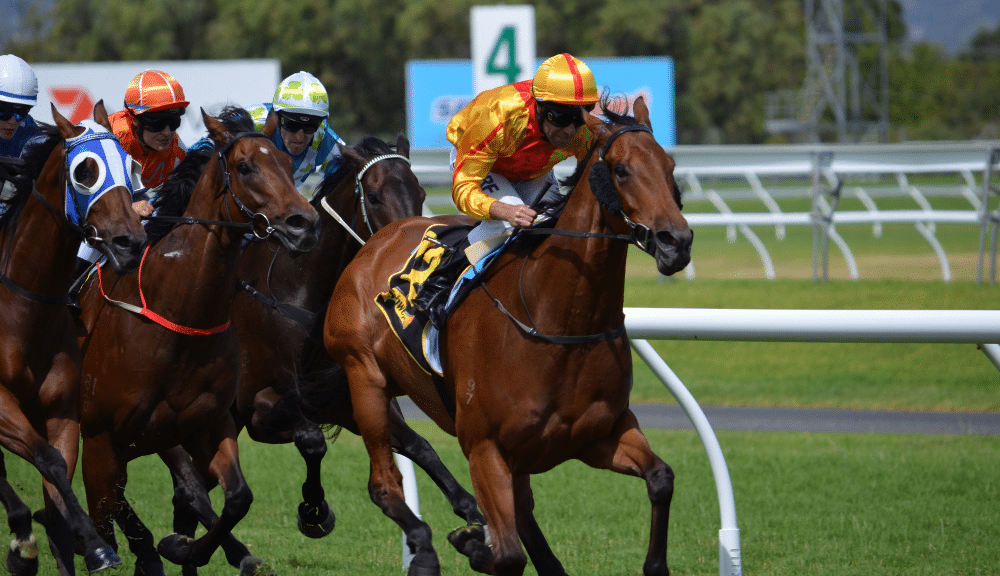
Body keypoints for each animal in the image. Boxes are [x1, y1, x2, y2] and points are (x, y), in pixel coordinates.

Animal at [0, 103, 147, 576]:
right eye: (85, 171)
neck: (24, 311)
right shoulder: (1, 404)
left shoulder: (62, 410)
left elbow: (59, 471)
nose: (130, 241)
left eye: (132, 166)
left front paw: (88, 544)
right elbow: (46, 459)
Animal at [76, 110, 318, 572]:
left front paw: (183, 547)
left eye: (287, 162)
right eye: (245, 166)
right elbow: (112, 508)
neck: (180, 317)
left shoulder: (207, 425)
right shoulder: (102, 438)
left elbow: (236, 497)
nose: (305, 225)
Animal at [160, 134, 484, 572]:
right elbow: (312, 440)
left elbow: (422, 448)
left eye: (419, 192)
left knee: (191, 496)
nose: (411, 245)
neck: (298, 295)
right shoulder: (260, 407)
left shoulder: (344, 397)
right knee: (191, 491)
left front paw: (471, 517)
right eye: (374, 196)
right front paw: (314, 511)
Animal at [324, 99, 692, 576]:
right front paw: (473, 543)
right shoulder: (485, 448)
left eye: (670, 166)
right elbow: (508, 554)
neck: (557, 321)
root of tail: (376, 241)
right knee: (384, 485)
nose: (676, 242)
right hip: (365, 379)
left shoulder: (598, 435)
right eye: (622, 169)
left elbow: (661, 478)